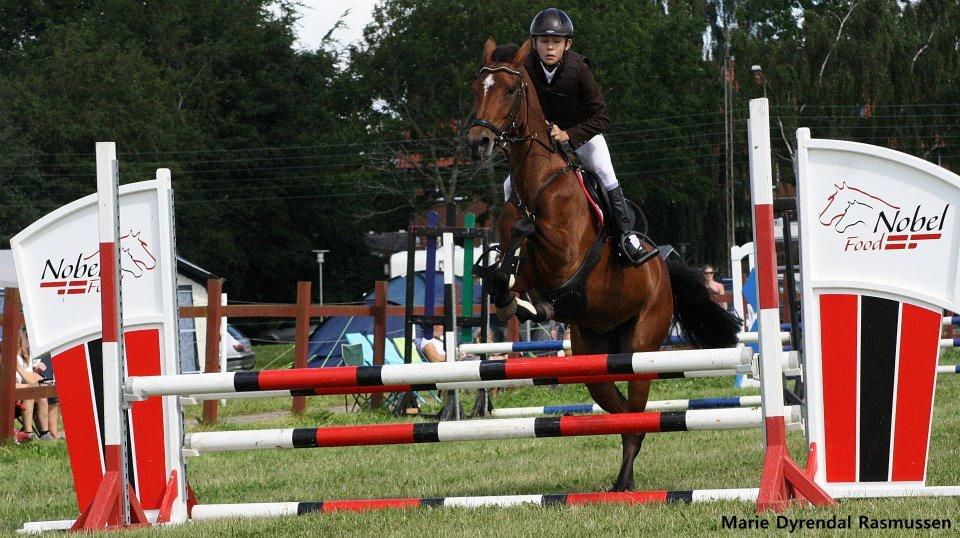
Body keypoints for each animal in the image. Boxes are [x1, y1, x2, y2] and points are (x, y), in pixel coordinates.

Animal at [466, 38, 741, 491]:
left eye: (510, 89)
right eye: (477, 88)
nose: (479, 143)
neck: (538, 182)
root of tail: (663, 273)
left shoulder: (564, 256)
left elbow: (527, 231)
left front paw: (525, 292)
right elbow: (507, 260)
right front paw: (514, 297)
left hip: (642, 345)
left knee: (636, 411)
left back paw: (624, 482)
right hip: (594, 352)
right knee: (619, 407)